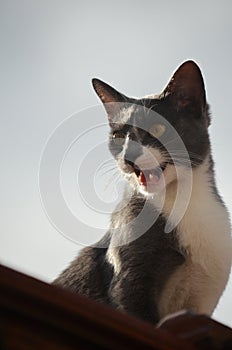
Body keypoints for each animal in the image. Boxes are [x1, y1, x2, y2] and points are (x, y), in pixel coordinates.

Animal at [53, 60, 232, 326]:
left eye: (157, 127)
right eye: (118, 136)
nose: (128, 156)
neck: (184, 201)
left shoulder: (203, 296)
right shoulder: (130, 282)